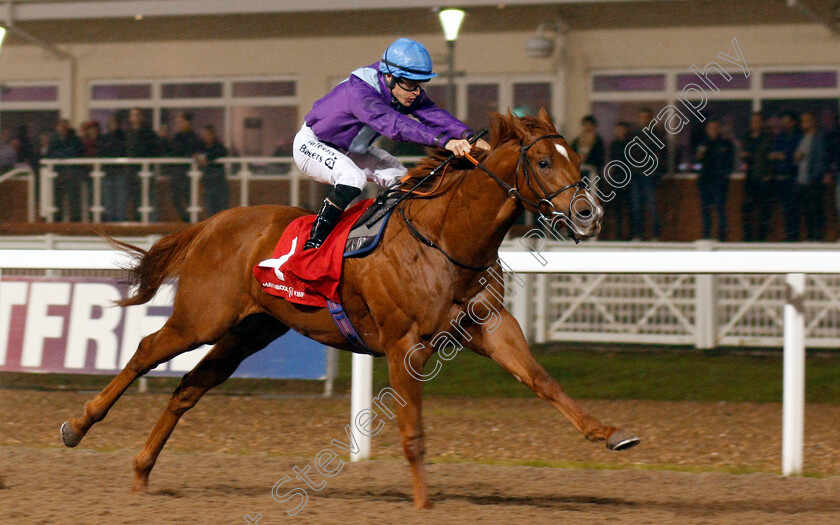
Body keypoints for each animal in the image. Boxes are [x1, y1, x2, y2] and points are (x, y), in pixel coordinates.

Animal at [59, 109, 636, 508]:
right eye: (543, 161)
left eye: (576, 160)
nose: (589, 214)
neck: (446, 239)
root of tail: (214, 222)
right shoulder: (405, 344)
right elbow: (413, 432)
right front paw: (424, 503)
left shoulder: (490, 327)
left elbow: (543, 380)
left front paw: (609, 432)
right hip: (202, 317)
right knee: (145, 351)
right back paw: (78, 426)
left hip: (249, 330)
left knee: (188, 387)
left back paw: (141, 470)